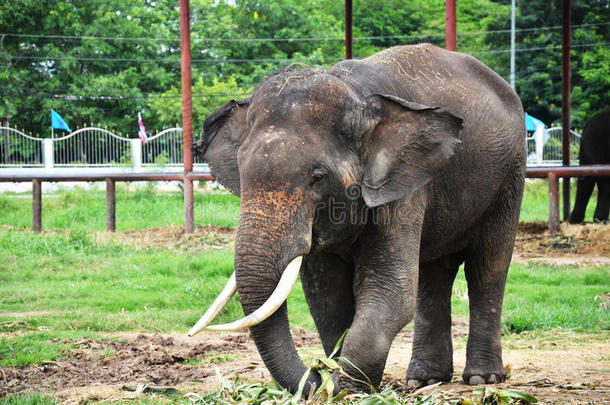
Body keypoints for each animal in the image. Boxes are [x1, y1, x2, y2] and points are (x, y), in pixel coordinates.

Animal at [189, 45, 524, 394]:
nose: (315, 374)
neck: (355, 94)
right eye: (241, 172)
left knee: (487, 267)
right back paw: (425, 380)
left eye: (318, 177)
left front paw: (348, 388)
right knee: (434, 275)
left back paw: (482, 378)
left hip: (510, 174)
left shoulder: (400, 188)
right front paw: (339, 382)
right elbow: (327, 297)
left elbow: (390, 290)